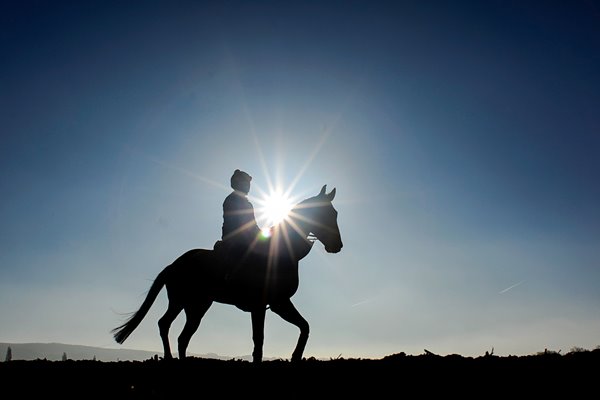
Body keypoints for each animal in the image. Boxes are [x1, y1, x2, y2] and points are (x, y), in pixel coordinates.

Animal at [109, 184, 340, 362]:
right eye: (325, 213)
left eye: (335, 214)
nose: (337, 246)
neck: (282, 251)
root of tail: (173, 265)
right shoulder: (263, 306)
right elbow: (259, 340)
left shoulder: (279, 303)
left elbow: (304, 327)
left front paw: (295, 357)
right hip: (186, 303)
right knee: (169, 327)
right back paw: (169, 359)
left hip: (193, 305)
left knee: (178, 334)